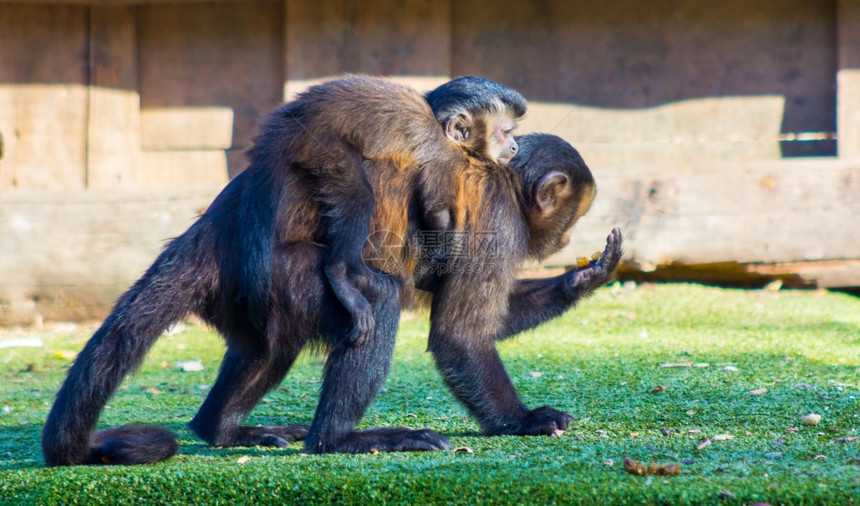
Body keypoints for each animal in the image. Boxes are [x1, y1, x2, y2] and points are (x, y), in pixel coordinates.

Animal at [278, 74, 528, 344]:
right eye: (506, 132)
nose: (514, 147)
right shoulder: (446, 158)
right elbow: (436, 213)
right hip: (321, 146)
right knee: (357, 195)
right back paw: (339, 273)